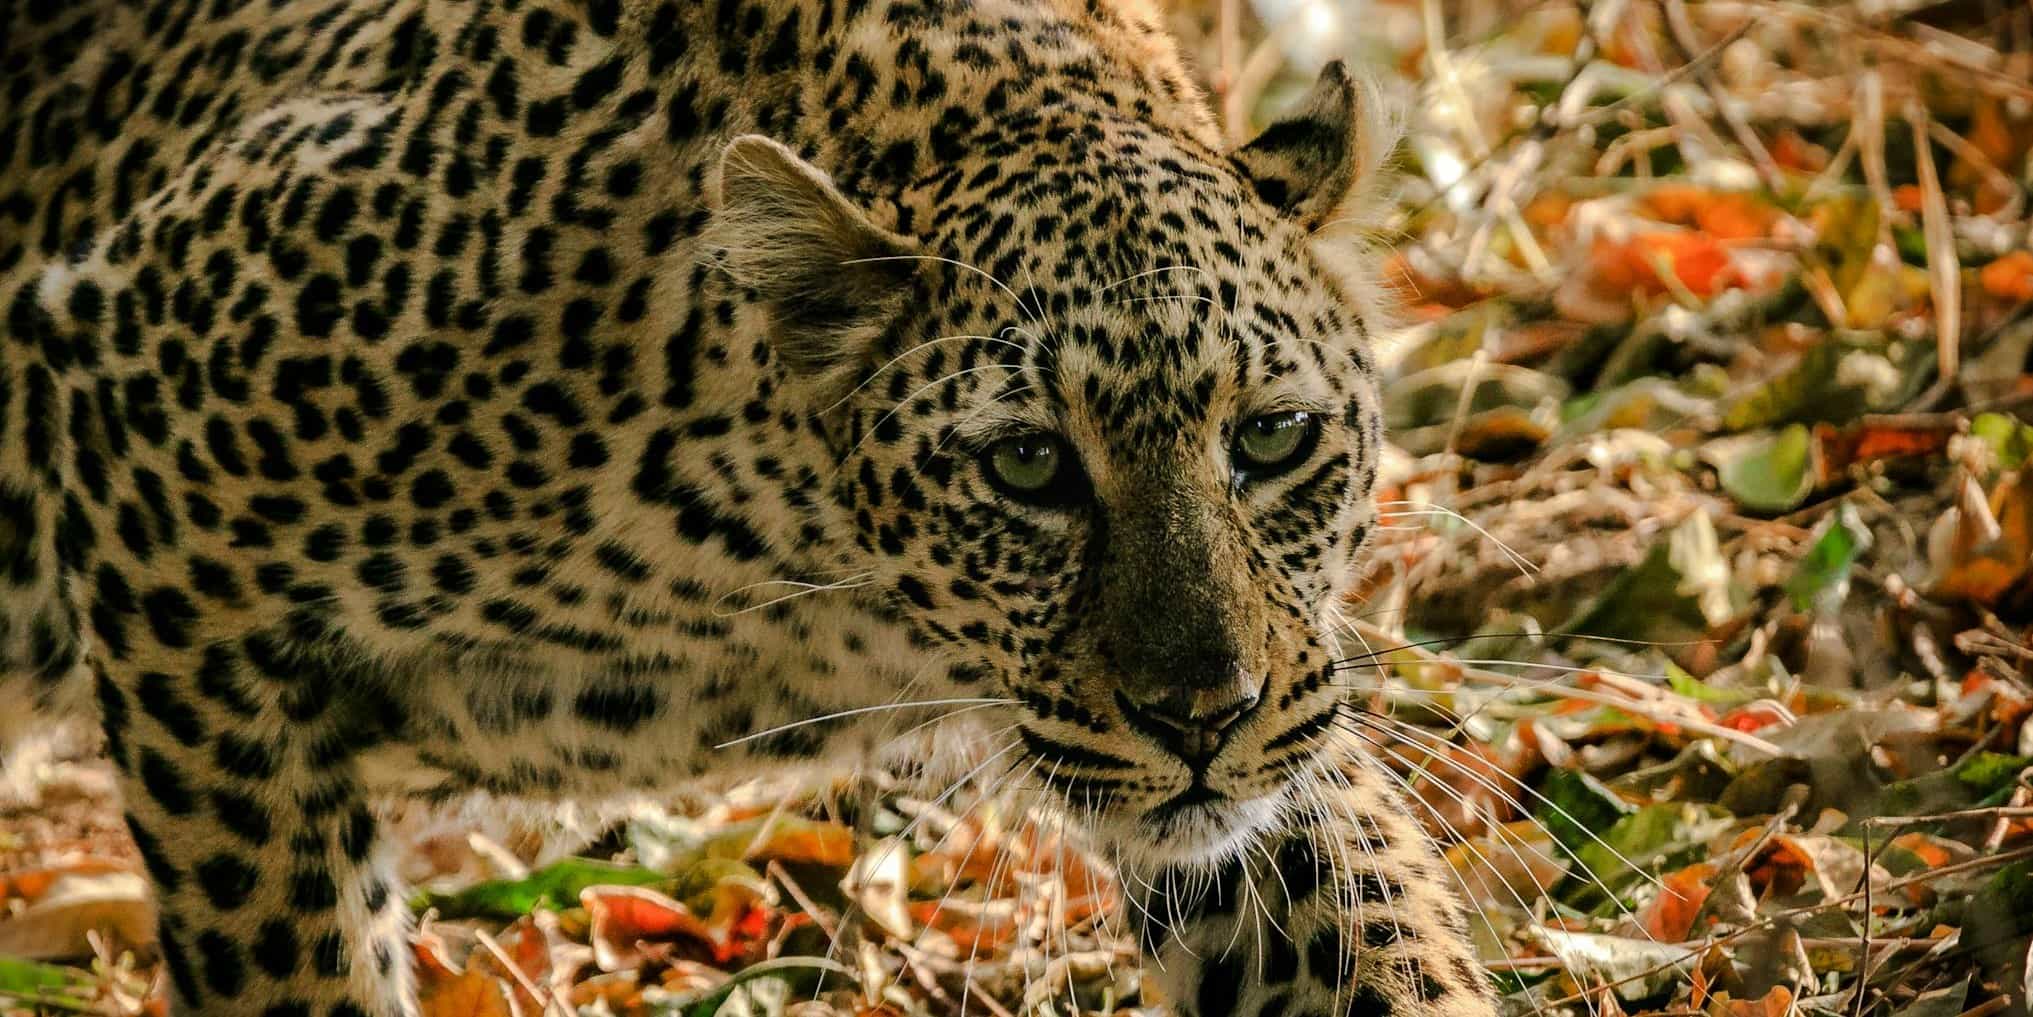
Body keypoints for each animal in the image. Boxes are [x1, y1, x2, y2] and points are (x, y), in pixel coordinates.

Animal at [0, 0, 1500, 1015]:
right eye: (1026, 467)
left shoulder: (1271, 728)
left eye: (1272, 438)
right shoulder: (156, 452)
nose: (1199, 717)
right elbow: (293, 954)